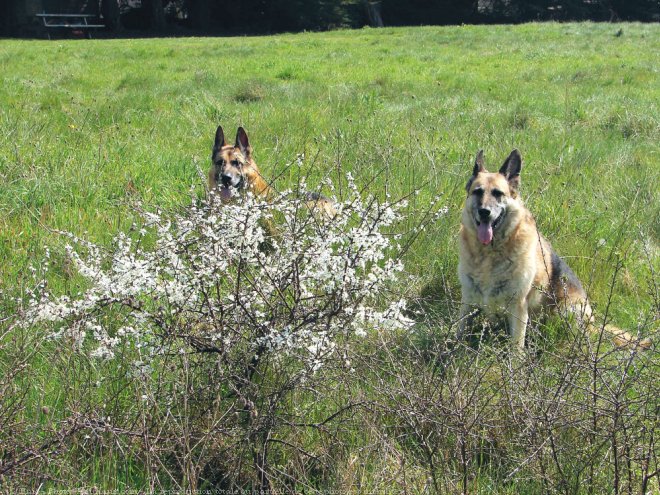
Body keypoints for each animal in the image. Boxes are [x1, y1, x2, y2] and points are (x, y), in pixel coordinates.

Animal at [458, 149, 648, 350]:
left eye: (498, 193)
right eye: (477, 192)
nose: (484, 212)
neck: (488, 254)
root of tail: (594, 324)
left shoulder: (518, 306)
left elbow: (516, 347)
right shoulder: (467, 299)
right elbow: (459, 331)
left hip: (564, 311)